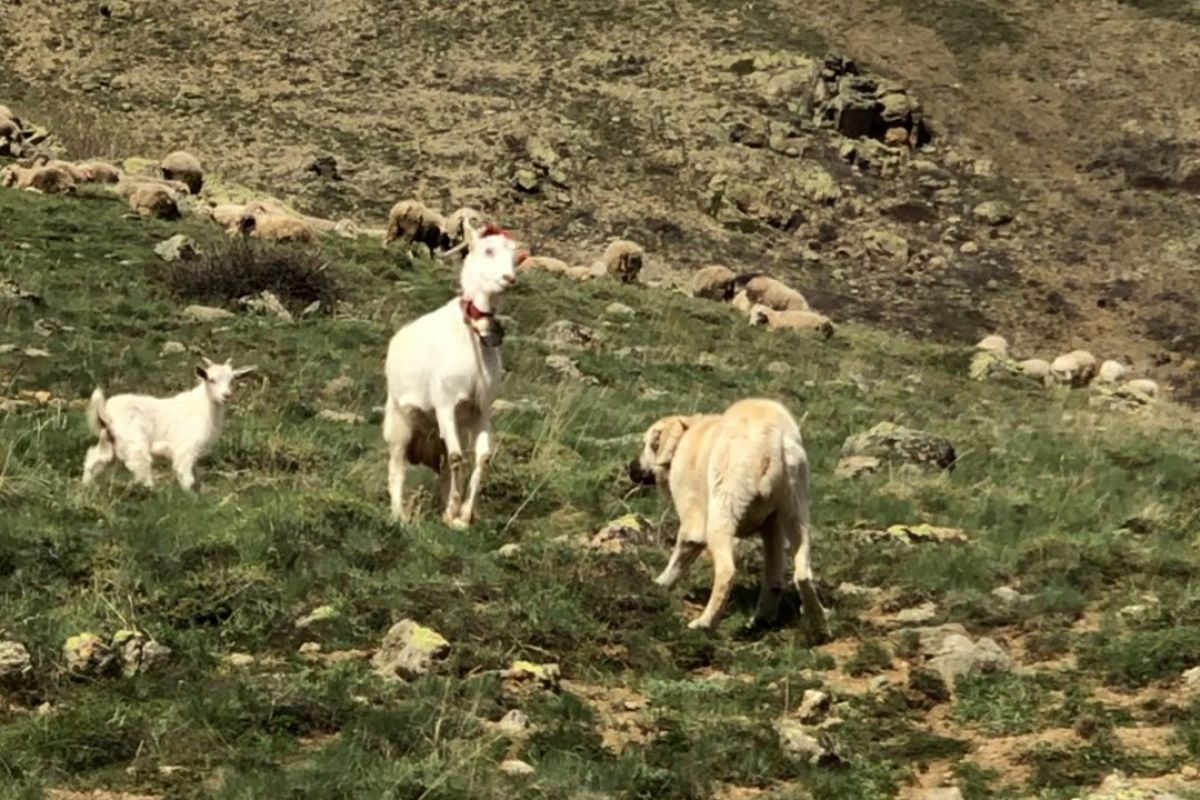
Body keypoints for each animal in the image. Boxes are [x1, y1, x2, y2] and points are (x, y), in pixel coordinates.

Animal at [83, 359, 256, 491]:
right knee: (140, 466)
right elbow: (186, 475)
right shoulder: (186, 448)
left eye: (232, 380)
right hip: (133, 442)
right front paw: (189, 496)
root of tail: (105, 412)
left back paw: (86, 486)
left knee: (94, 460)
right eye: (211, 379)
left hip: (109, 442)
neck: (202, 406)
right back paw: (150, 491)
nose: (226, 396)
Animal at [384, 221, 525, 527]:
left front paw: (463, 515)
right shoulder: (446, 404)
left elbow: (482, 458)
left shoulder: (481, 410)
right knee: (397, 466)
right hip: (400, 420)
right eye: (488, 250)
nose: (509, 278)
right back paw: (399, 515)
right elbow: (458, 457)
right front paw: (451, 512)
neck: (472, 336)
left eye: (515, 254)